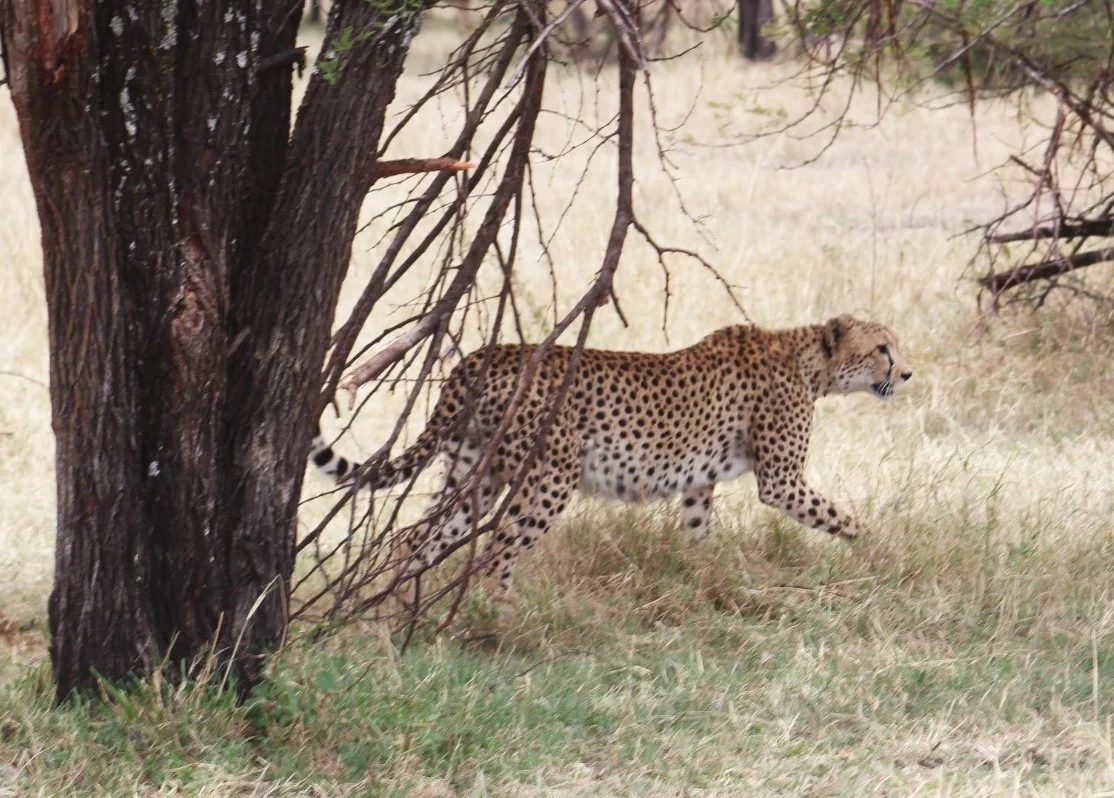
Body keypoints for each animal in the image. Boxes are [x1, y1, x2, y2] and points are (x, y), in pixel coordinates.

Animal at [310, 314, 912, 594]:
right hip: (548, 476)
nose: (907, 373)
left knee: (416, 537)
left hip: (475, 474)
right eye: (882, 348)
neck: (809, 362)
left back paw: (390, 610)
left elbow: (698, 535)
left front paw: (702, 579)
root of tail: (479, 355)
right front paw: (881, 555)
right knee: (497, 551)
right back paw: (502, 617)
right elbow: (842, 518)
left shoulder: (698, 484)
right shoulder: (782, 482)